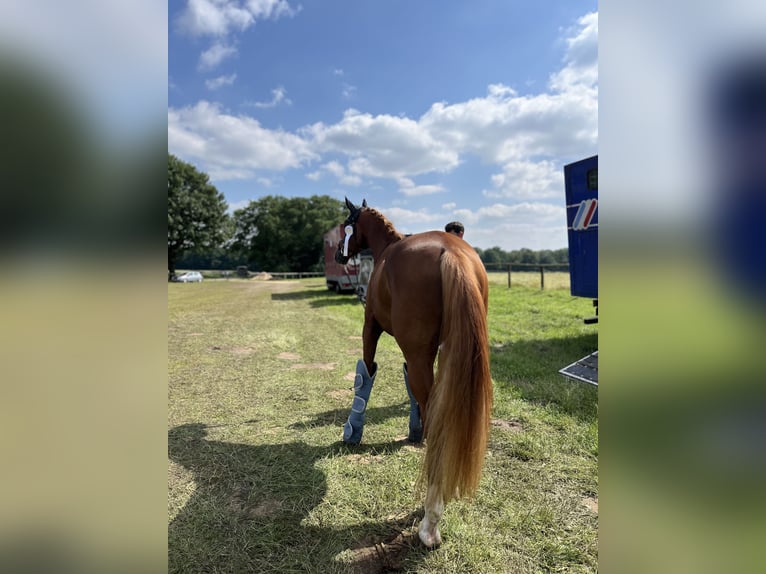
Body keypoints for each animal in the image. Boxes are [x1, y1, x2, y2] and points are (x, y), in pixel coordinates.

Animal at [334, 197, 493, 548]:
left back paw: (430, 519)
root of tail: (453, 252)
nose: (339, 254)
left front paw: (353, 430)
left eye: (345, 227)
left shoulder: (370, 327)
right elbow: (410, 388)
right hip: (450, 353)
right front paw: (414, 430)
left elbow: (365, 373)